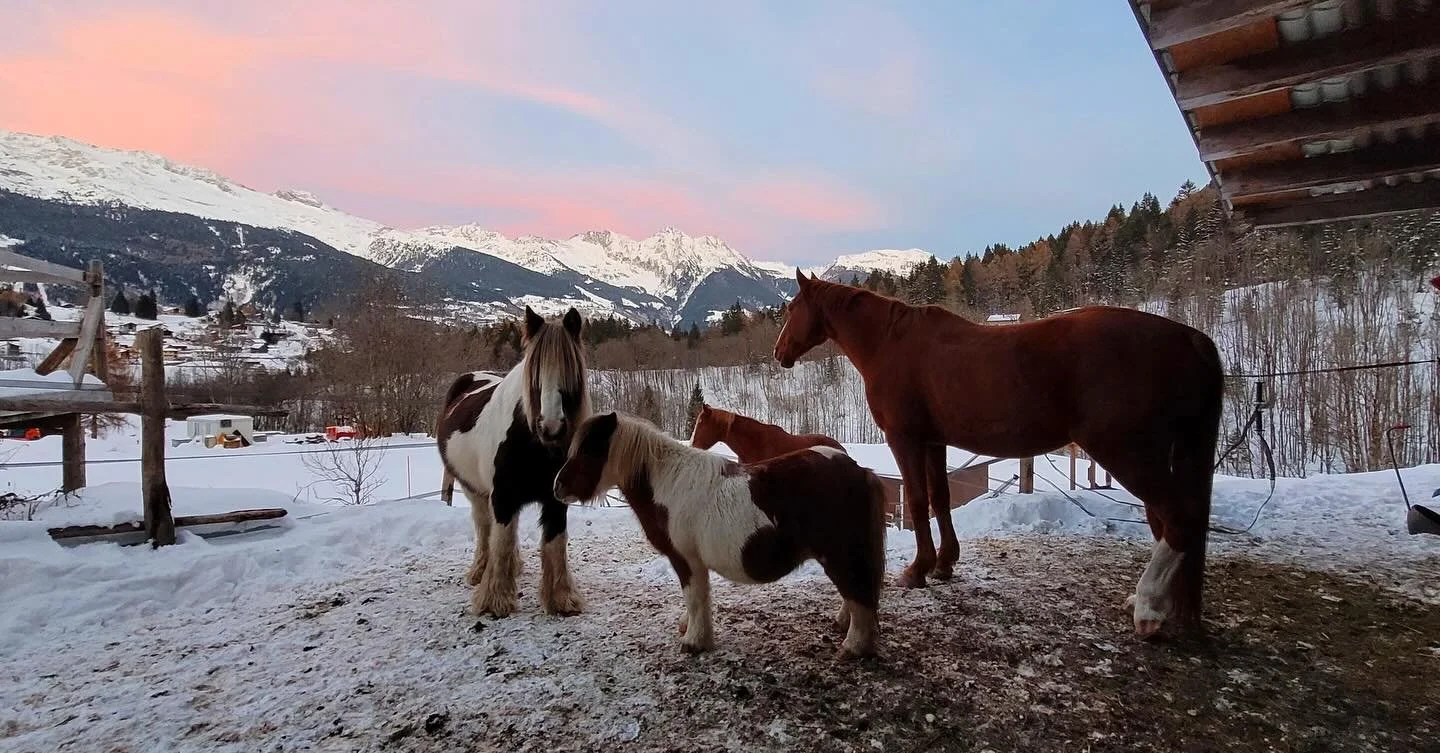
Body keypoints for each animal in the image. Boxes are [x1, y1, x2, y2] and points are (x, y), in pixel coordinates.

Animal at [436, 305, 591, 618]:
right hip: (475, 490)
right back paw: (479, 571)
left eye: (570, 375)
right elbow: (501, 541)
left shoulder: (555, 500)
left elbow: (555, 543)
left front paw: (562, 599)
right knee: (485, 527)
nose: (551, 428)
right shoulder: (503, 497)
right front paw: (495, 600)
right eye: (535, 376)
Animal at [553, 411, 887, 657]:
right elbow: (696, 598)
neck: (667, 484)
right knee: (855, 591)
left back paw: (853, 646)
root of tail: (859, 471)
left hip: (838, 552)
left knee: (858, 590)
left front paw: (694, 641)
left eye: (587, 452)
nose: (557, 487)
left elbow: (695, 597)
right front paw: (689, 629)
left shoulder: (685, 559)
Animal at [773, 271, 1223, 638]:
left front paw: (918, 570)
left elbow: (917, 501)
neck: (891, 344)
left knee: (1177, 518)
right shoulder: (935, 442)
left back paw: (1147, 608)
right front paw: (944, 564)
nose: (779, 353)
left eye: (791, 308)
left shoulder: (906, 439)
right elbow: (941, 499)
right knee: (1173, 520)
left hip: (1128, 453)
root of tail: (1188, 336)